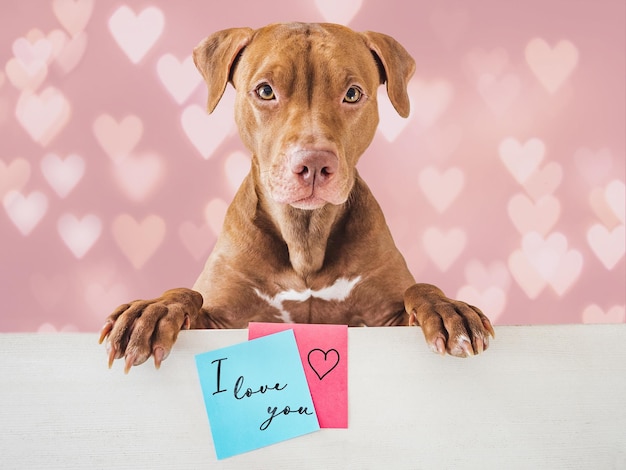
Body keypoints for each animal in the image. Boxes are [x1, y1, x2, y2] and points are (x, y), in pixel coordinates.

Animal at [100, 22, 492, 372]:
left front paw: (447, 307)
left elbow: (419, 290)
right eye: (265, 91)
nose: (314, 163)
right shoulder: (219, 320)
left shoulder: (385, 319)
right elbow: (188, 295)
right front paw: (153, 309)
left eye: (352, 93)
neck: (305, 237)